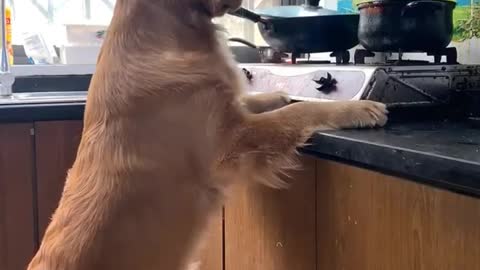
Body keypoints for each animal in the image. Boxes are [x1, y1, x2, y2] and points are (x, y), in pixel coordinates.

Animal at [25, 0, 386, 270]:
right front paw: (360, 108)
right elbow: (298, 113)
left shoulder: (232, 111)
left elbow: (266, 101)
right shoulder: (232, 139)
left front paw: (282, 93)